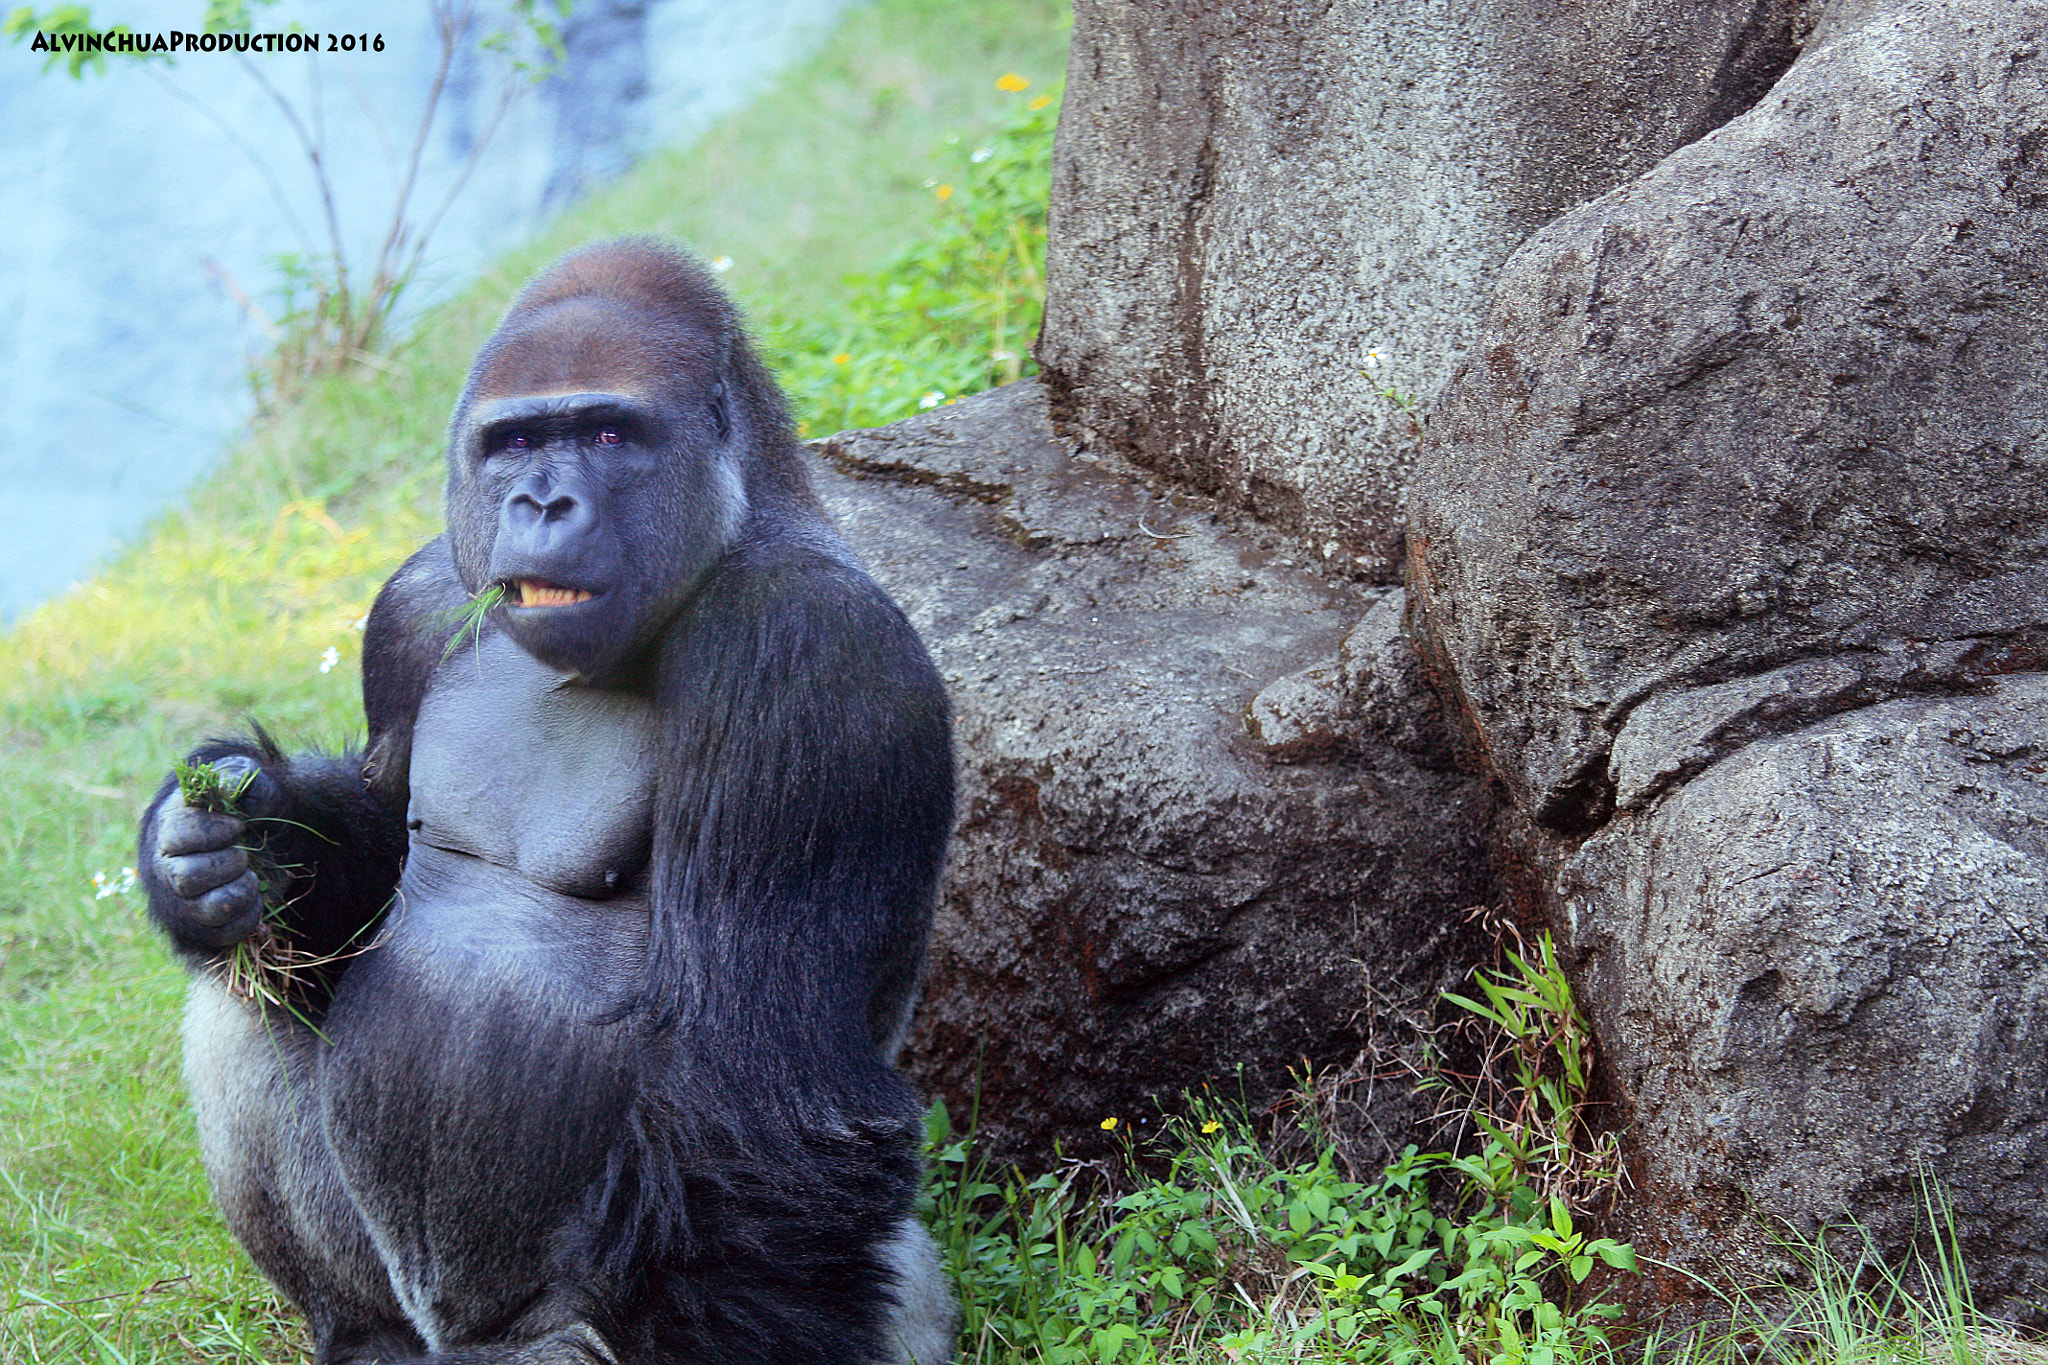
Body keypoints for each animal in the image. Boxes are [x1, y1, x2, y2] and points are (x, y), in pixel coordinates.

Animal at [144, 240, 958, 1358]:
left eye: (609, 433)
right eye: (516, 441)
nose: (539, 505)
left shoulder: (804, 646)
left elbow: (758, 1104)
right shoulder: (416, 604)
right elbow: (359, 886)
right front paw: (231, 841)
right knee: (245, 997)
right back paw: (360, 1328)